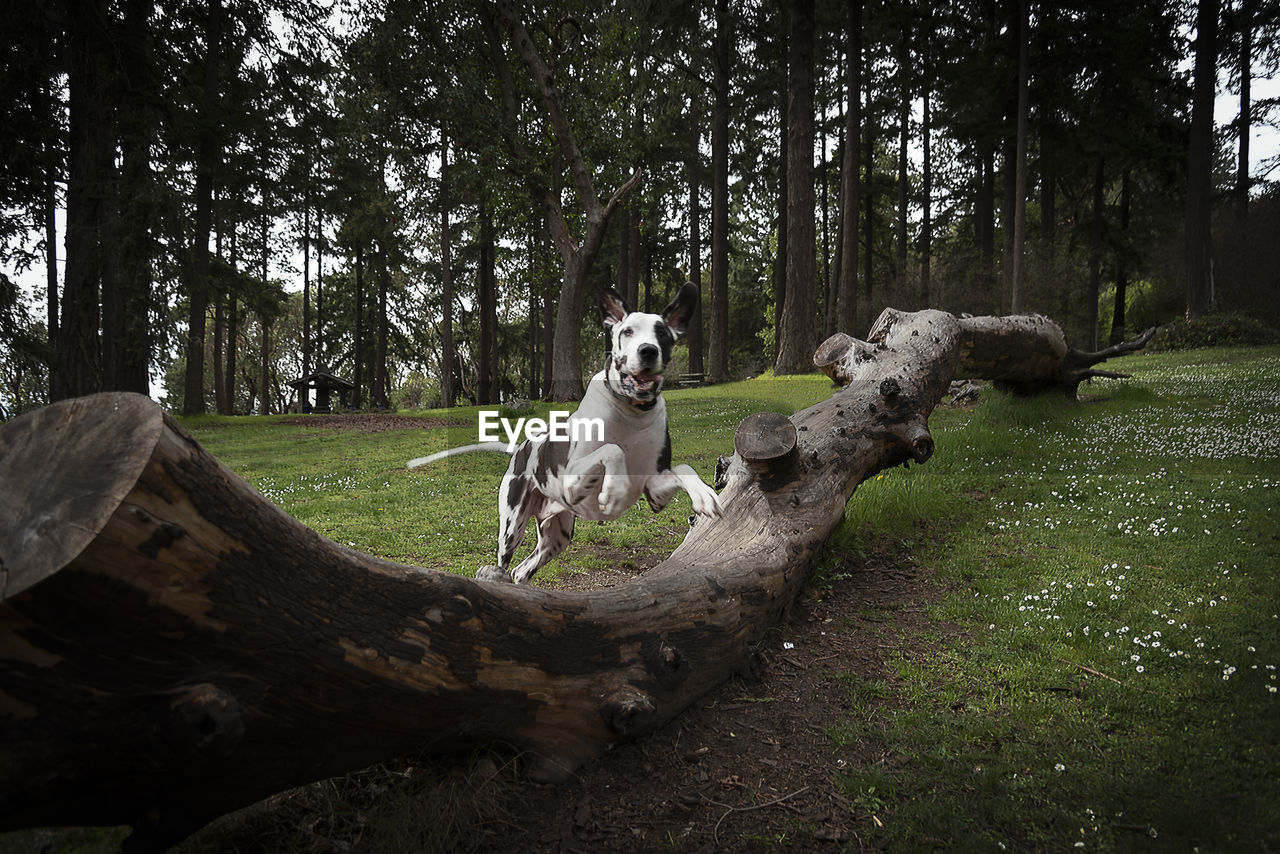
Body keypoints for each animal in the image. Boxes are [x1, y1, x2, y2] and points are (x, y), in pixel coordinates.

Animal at [407, 284, 721, 583]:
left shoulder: (655, 492)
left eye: (663, 334)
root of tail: (520, 448)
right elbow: (613, 449)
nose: (648, 350)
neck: (630, 414)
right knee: (504, 563)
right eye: (628, 331)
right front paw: (614, 491)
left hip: (556, 538)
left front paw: (704, 495)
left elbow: (684, 467)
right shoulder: (573, 478)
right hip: (512, 527)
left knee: (521, 571)